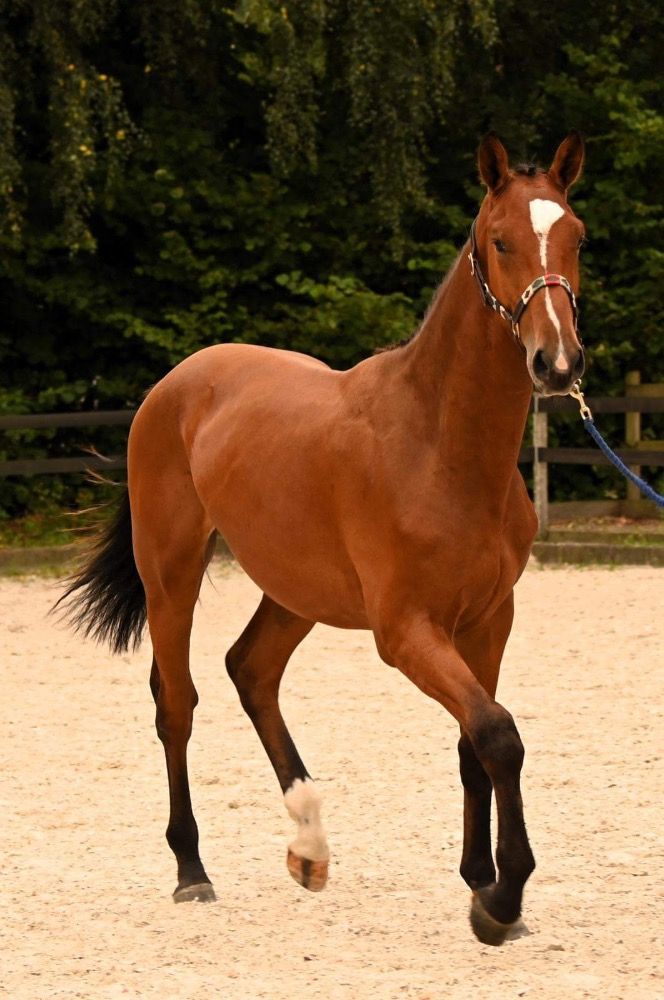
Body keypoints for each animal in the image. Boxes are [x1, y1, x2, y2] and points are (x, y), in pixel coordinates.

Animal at [58, 132, 586, 946]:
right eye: (501, 241)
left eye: (577, 237)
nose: (557, 363)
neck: (439, 444)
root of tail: (172, 387)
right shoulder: (407, 632)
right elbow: (498, 735)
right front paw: (501, 901)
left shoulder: (488, 620)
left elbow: (475, 743)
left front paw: (479, 881)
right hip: (171, 573)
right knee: (177, 702)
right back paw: (192, 871)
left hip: (294, 590)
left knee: (251, 671)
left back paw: (308, 844)